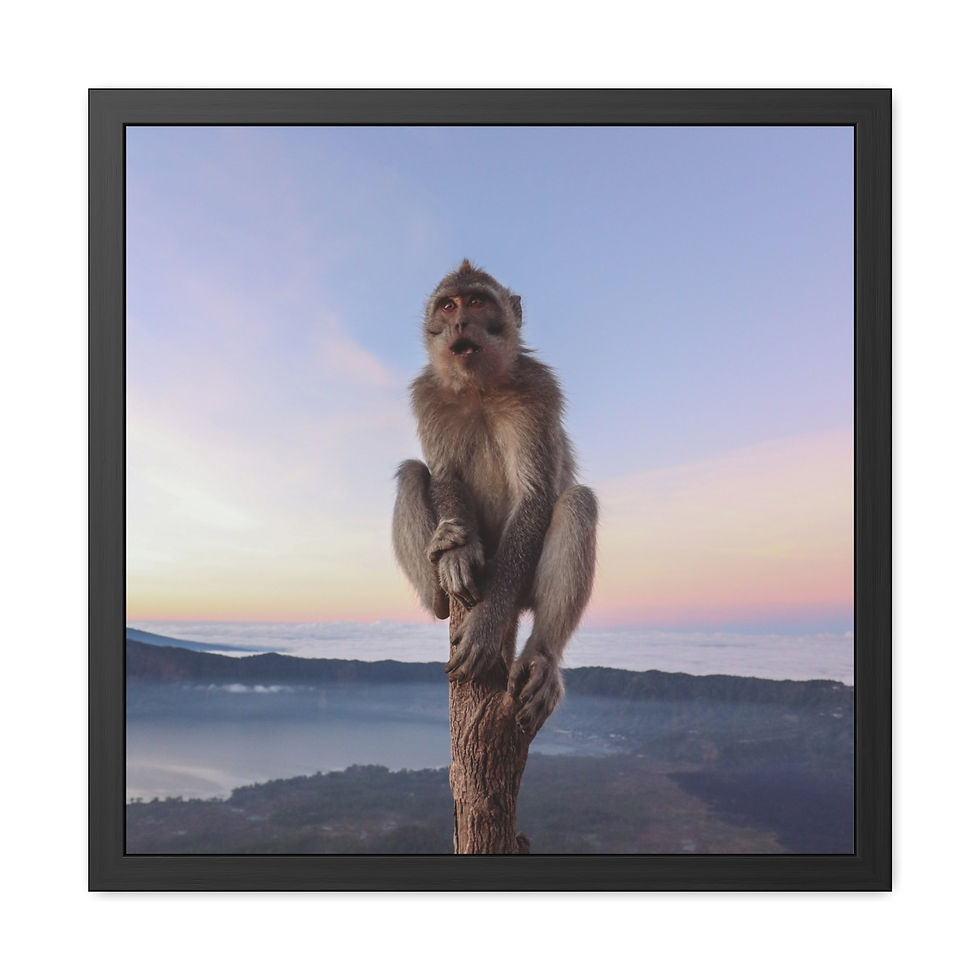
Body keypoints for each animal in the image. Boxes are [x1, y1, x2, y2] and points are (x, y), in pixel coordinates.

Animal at [392, 260, 597, 736]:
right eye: (448, 306)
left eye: (477, 301)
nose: (460, 323)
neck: (478, 389)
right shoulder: (428, 394)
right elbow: (444, 476)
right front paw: (456, 555)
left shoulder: (538, 390)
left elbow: (537, 494)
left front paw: (485, 625)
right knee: (412, 473)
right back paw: (439, 582)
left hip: (522, 584)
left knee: (578, 503)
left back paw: (541, 657)